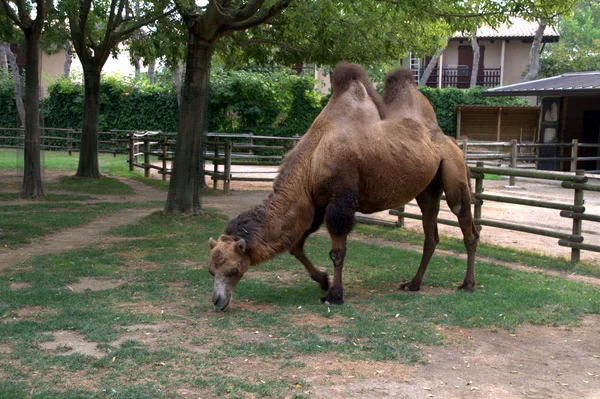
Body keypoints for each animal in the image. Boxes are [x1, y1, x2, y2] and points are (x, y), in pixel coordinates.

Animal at [207, 63, 478, 312]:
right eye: (210, 271)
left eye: (232, 269)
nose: (217, 302)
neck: (312, 161)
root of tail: (452, 140)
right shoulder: (315, 204)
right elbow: (296, 245)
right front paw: (323, 280)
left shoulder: (340, 202)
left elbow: (337, 252)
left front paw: (335, 294)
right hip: (428, 189)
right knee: (431, 233)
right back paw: (413, 284)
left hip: (454, 170)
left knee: (464, 220)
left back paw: (467, 284)